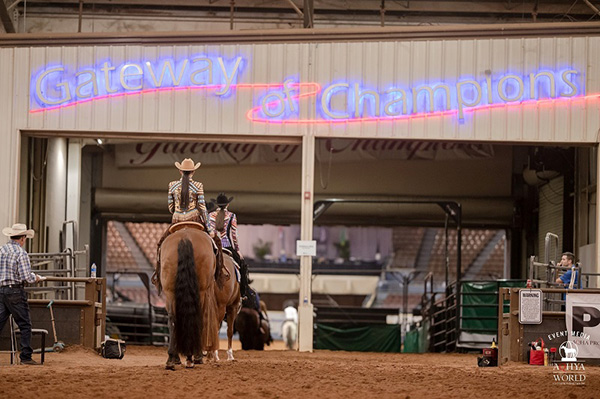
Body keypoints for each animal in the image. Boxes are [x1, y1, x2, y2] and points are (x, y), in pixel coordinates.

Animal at [159, 227, 220, 370]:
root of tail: (185, 238)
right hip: (201, 290)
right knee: (198, 317)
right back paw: (192, 357)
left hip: (169, 291)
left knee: (173, 319)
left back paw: (171, 359)